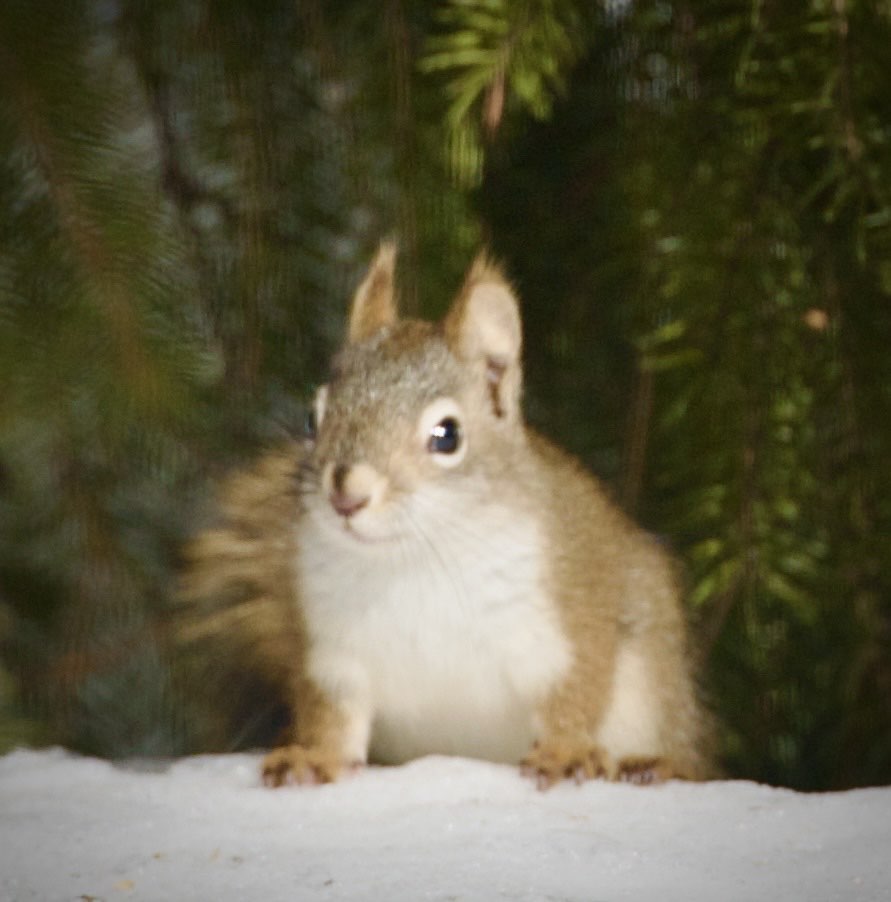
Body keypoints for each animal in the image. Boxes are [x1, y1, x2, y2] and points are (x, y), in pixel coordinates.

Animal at [176, 243, 712, 788]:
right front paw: (316, 757)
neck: (413, 557)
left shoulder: (569, 621)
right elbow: (333, 719)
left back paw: (658, 764)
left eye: (448, 435)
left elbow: (575, 694)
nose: (346, 496)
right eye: (312, 418)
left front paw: (566, 753)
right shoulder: (334, 656)